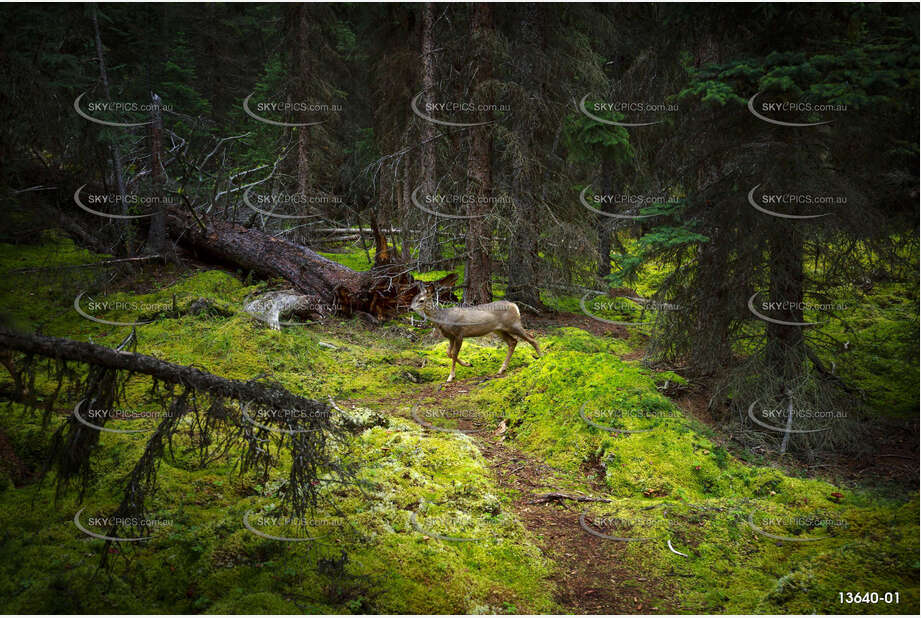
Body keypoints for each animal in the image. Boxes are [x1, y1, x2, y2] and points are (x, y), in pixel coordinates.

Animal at [410, 288, 540, 382]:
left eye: (421, 300)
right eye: (414, 298)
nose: (410, 309)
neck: (443, 318)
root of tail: (515, 306)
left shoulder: (459, 334)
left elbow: (454, 354)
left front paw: (451, 376)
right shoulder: (450, 336)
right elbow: (448, 353)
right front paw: (468, 364)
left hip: (513, 324)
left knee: (532, 338)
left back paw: (541, 357)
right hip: (499, 330)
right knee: (513, 341)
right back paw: (501, 369)